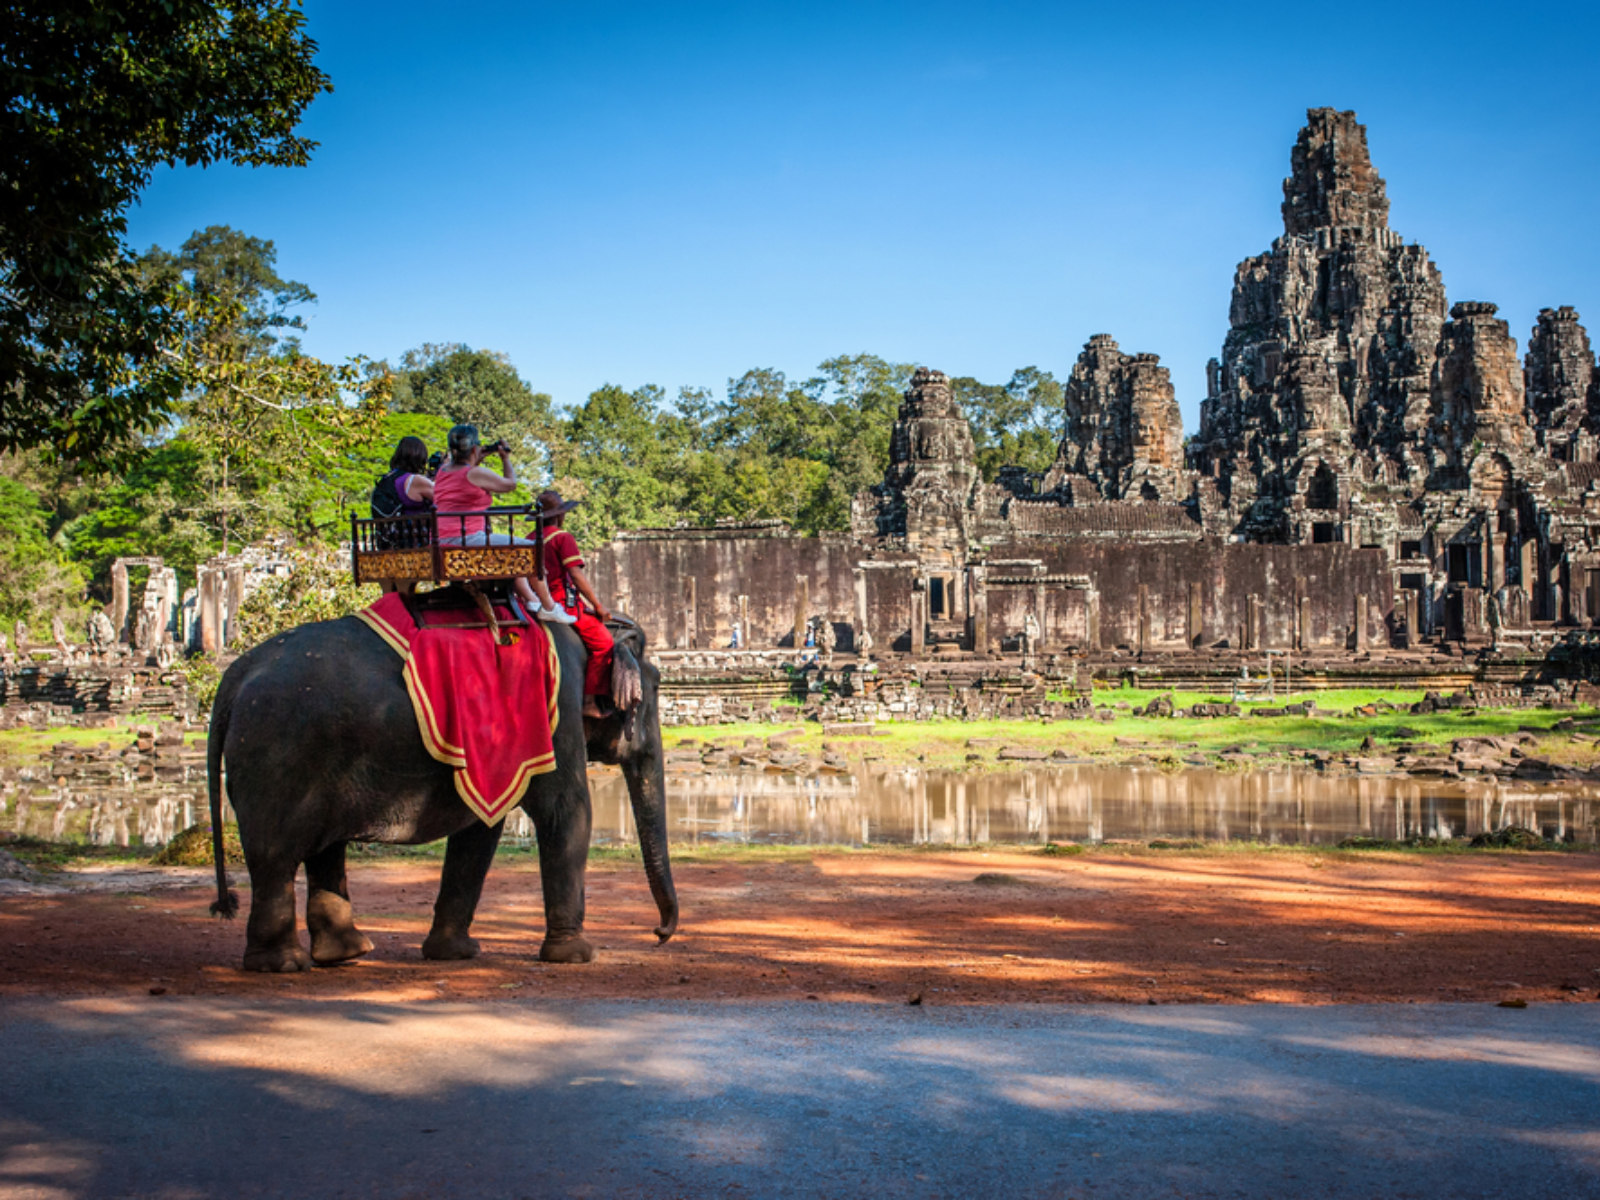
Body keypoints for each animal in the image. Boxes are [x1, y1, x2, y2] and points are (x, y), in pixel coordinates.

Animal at [206, 611, 675, 979]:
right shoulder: (554, 710)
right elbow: (567, 811)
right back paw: (283, 964)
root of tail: (234, 676)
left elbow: (480, 831)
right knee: (276, 857)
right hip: (278, 754)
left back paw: (346, 954)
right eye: (651, 695)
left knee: (322, 850)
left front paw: (455, 954)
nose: (659, 934)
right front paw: (577, 956)